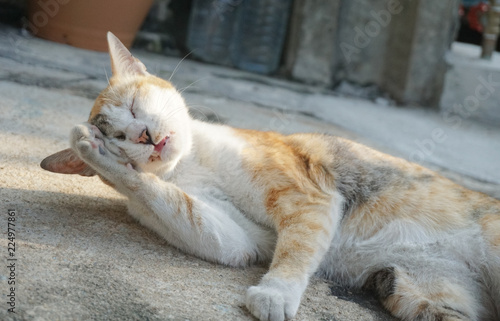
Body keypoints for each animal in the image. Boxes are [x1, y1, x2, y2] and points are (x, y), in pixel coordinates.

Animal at [40, 33, 500, 320]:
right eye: (118, 137)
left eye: (135, 105)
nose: (144, 136)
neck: (191, 162)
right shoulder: (239, 238)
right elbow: (180, 208)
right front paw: (95, 152)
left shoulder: (308, 197)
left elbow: (296, 250)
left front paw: (276, 293)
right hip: (416, 293)